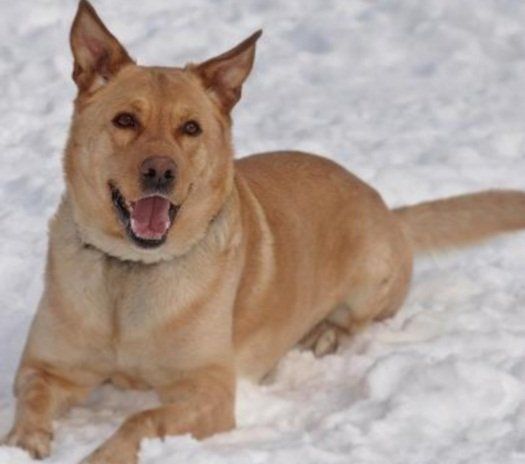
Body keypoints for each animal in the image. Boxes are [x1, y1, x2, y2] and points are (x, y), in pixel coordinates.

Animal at [3, 1, 525, 463]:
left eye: (190, 128)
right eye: (125, 120)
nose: (160, 172)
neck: (130, 272)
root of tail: (388, 209)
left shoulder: (211, 391)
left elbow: (141, 419)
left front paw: (102, 455)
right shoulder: (45, 367)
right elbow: (31, 399)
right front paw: (22, 443)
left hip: (369, 272)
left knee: (357, 319)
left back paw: (326, 335)